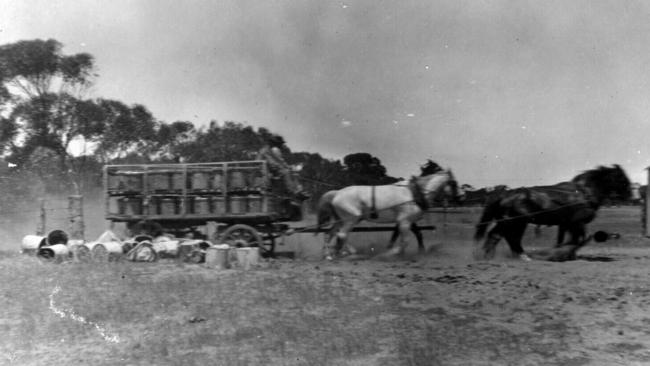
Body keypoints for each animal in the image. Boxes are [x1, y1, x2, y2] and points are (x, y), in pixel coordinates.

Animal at [314, 170, 456, 258]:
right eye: (453, 183)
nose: (456, 197)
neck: (413, 193)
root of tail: (337, 193)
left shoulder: (406, 221)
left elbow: (414, 235)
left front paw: (420, 251)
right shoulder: (404, 220)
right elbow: (405, 240)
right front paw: (390, 254)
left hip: (341, 220)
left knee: (330, 233)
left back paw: (329, 254)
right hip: (351, 219)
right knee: (342, 234)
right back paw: (348, 252)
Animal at [474, 166, 632, 260]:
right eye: (622, 178)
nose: (630, 195)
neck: (583, 193)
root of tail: (506, 194)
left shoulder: (567, 224)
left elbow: (570, 239)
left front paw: (565, 253)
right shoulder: (576, 223)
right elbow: (578, 239)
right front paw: (561, 253)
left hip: (512, 222)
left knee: (502, 236)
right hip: (515, 222)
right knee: (504, 237)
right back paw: (517, 256)